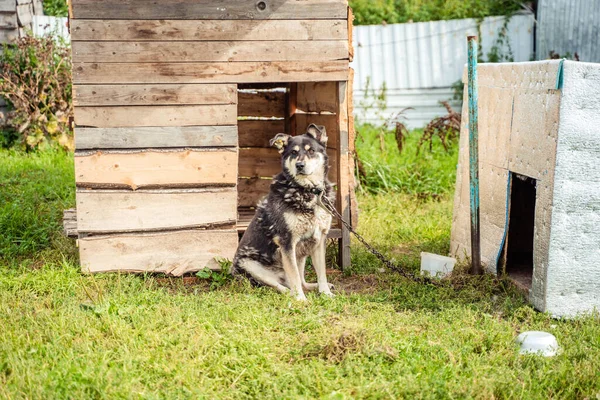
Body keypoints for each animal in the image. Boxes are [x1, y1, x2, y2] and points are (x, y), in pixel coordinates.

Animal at [232, 123, 336, 302]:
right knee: (279, 285)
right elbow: (293, 275)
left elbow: (321, 272)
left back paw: (313, 287)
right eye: (293, 152)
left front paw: (325, 293)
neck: (308, 191)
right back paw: (290, 293)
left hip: (301, 256)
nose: (300, 165)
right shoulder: (287, 242)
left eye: (311, 150)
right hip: (250, 265)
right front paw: (300, 299)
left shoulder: (319, 239)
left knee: (302, 281)